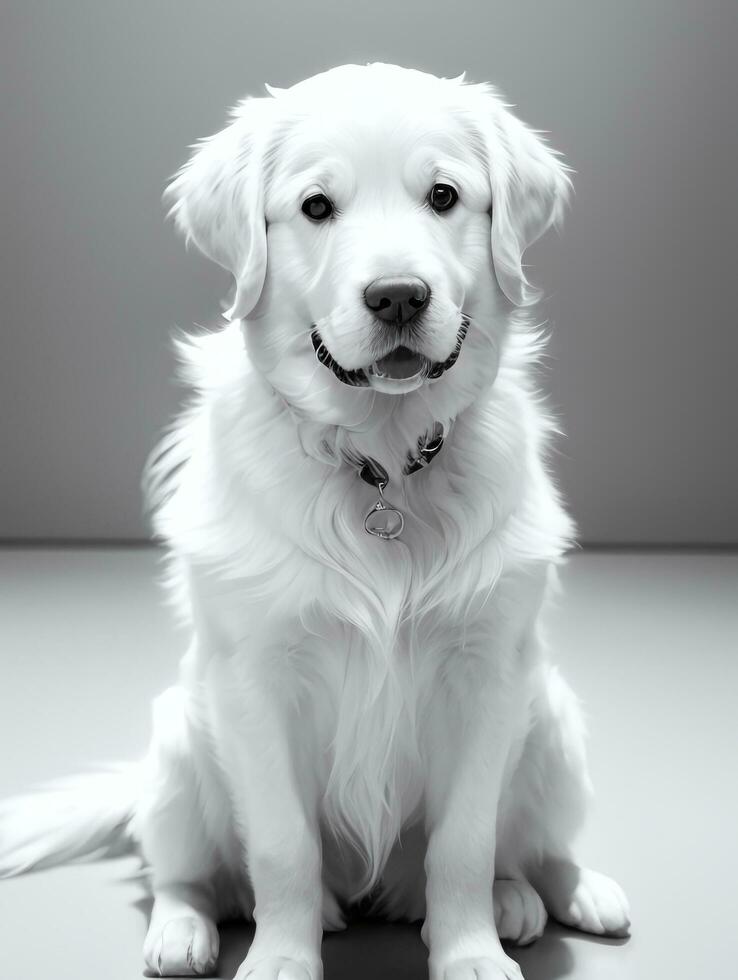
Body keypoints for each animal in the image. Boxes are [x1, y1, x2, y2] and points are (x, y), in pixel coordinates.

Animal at [0, 63, 628, 980]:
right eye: (317, 206)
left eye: (444, 196)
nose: (398, 297)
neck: (383, 462)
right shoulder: (256, 684)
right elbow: (282, 848)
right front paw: (282, 958)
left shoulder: (487, 677)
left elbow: (466, 843)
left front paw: (470, 952)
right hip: (180, 746)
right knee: (180, 873)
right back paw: (184, 930)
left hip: (551, 721)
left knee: (531, 849)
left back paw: (555, 894)